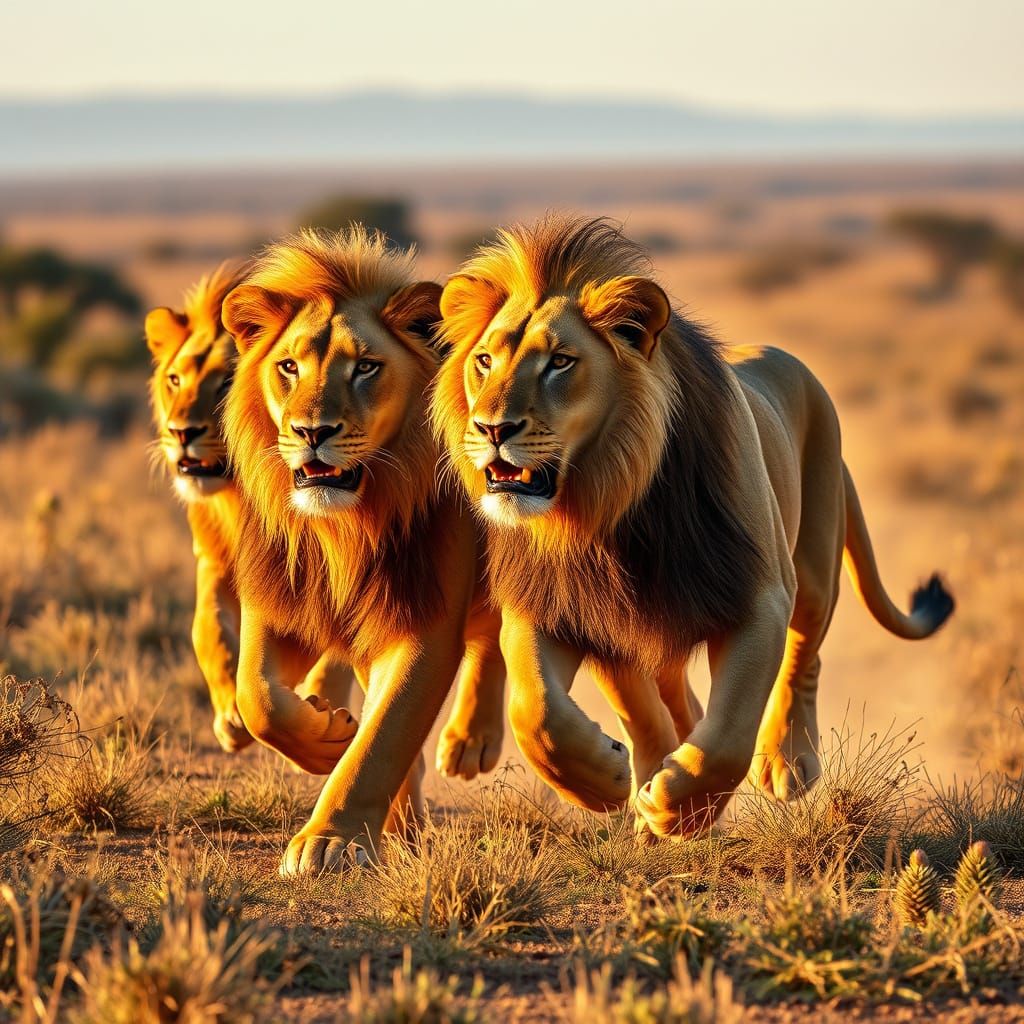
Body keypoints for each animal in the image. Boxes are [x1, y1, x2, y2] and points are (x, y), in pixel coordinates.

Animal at [146, 265, 352, 754]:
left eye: (225, 382)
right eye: (175, 380)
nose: (179, 432)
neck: (238, 496)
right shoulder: (216, 561)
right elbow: (208, 630)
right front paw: (231, 718)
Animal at [220, 227, 505, 875]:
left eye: (367, 367)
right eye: (288, 366)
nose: (312, 432)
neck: (346, 528)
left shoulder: (424, 621)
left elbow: (383, 736)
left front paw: (331, 840)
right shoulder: (279, 602)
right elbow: (257, 698)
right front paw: (327, 734)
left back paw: (467, 746)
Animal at [431, 215, 954, 838]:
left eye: (560, 362)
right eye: (485, 361)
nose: (491, 428)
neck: (611, 509)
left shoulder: (758, 597)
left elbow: (727, 736)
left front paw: (677, 808)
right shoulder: (566, 607)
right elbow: (537, 711)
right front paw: (608, 781)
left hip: (812, 570)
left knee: (803, 659)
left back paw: (786, 763)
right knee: (663, 703)